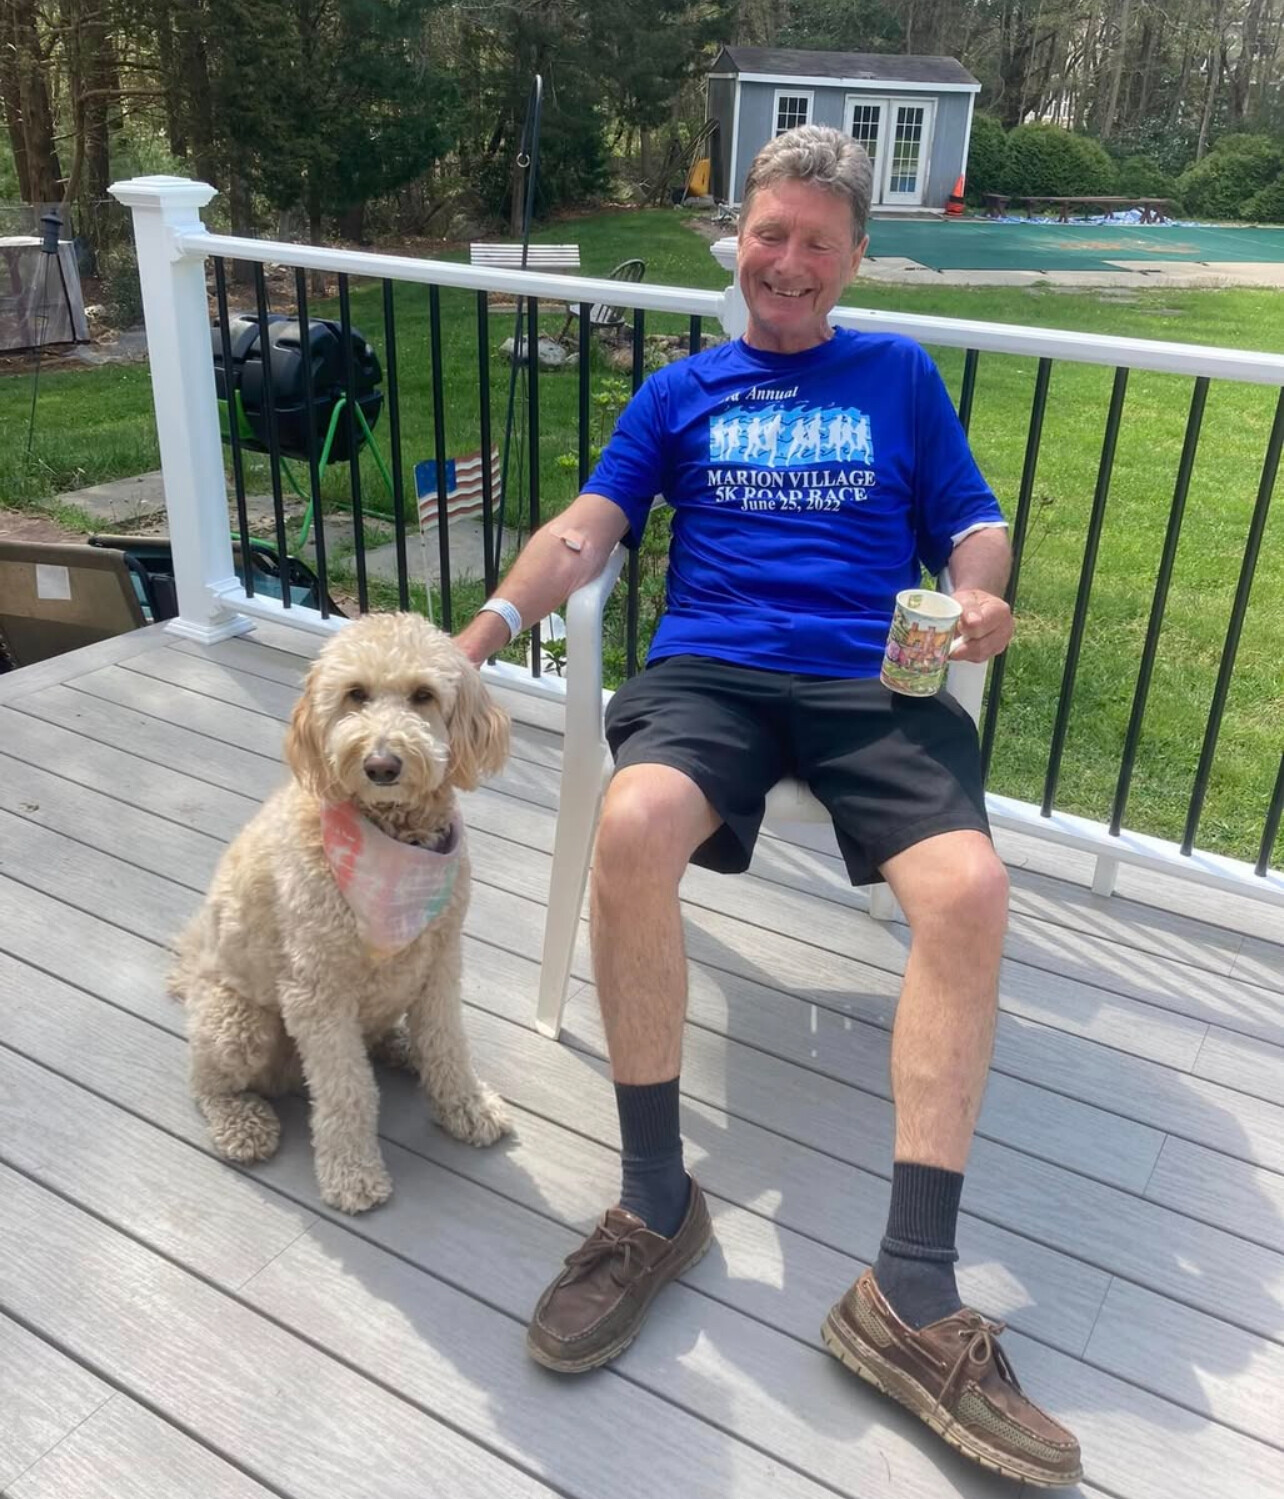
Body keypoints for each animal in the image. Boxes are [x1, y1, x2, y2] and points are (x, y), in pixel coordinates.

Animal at [171, 612, 513, 1213]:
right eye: (355, 694)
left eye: (423, 696)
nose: (381, 764)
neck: (393, 834)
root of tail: (192, 976)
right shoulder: (318, 991)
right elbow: (346, 1090)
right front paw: (352, 1174)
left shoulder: (441, 960)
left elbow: (448, 1042)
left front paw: (466, 1108)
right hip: (237, 1025)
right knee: (207, 1082)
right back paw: (242, 1124)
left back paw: (402, 1046)